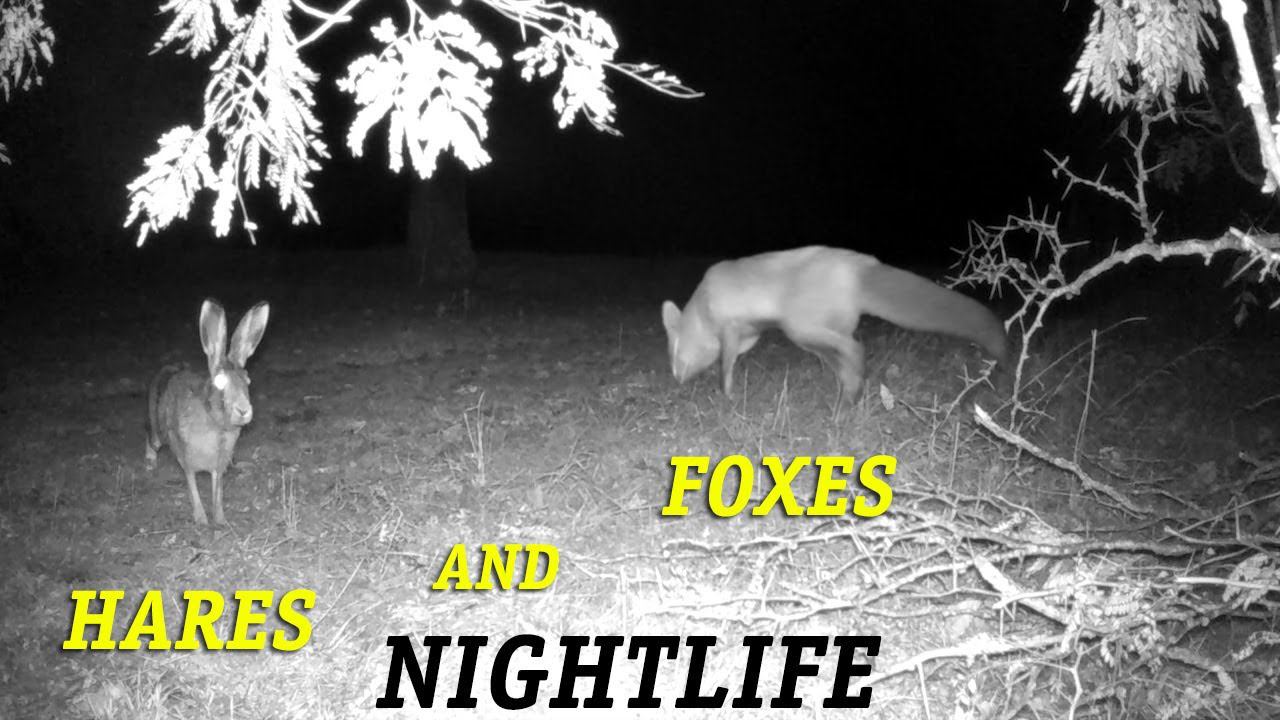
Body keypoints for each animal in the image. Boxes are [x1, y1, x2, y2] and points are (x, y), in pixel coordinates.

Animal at [660, 246, 1007, 401]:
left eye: (674, 354)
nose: (675, 380)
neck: (703, 305)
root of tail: (860, 264)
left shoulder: (731, 330)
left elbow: (725, 370)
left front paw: (728, 398)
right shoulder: (747, 335)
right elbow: (731, 362)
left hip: (800, 328)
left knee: (856, 349)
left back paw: (853, 393)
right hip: (812, 336)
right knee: (846, 359)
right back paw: (850, 395)